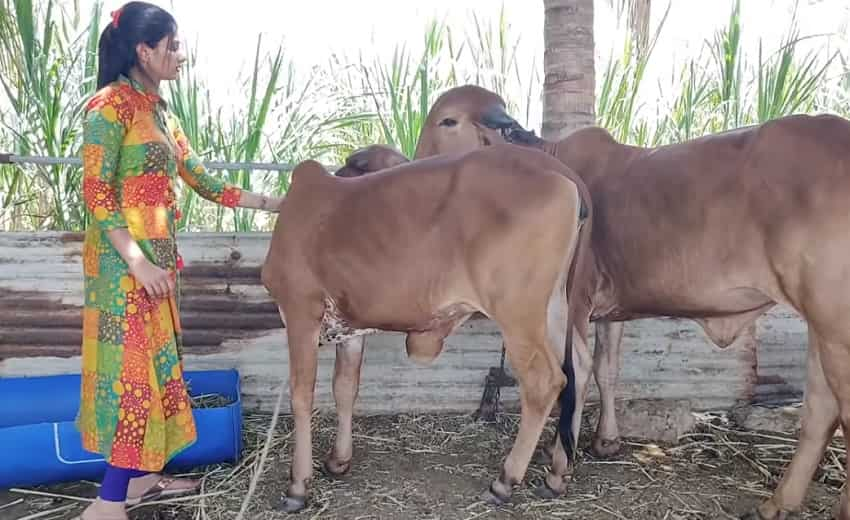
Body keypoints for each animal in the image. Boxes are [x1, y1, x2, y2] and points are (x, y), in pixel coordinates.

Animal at [262, 143, 592, 512]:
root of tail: (560, 170)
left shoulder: (300, 310)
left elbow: (301, 394)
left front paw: (297, 485)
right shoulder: (350, 327)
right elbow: (345, 387)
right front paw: (338, 460)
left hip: (517, 313)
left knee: (544, 381)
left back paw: (504, 481)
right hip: (555, 307)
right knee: (579, 367)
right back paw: (557, 473)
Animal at [500, 115, 848, 520]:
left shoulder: (576, 299)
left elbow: (574, 373)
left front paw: (558, 461)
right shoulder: (610, 309)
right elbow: (607, 369)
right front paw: (605, 440)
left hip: (836, 324)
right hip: (822, 325)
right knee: (821, 411)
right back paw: (776, 504)